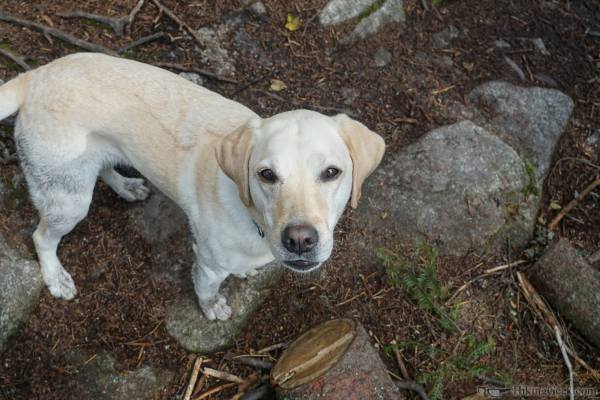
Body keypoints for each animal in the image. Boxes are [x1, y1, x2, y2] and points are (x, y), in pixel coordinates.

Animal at [0, 54, 384, 322]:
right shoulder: (208, 263)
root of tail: (35, 76)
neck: (254, 222)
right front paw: (211, 307)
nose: (300, 240)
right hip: (68, 199)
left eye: (331, 172)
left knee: (106, 168)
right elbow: (206, 287)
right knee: (41, 237)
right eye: (266, 175)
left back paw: (127, 187)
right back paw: (55, 278)